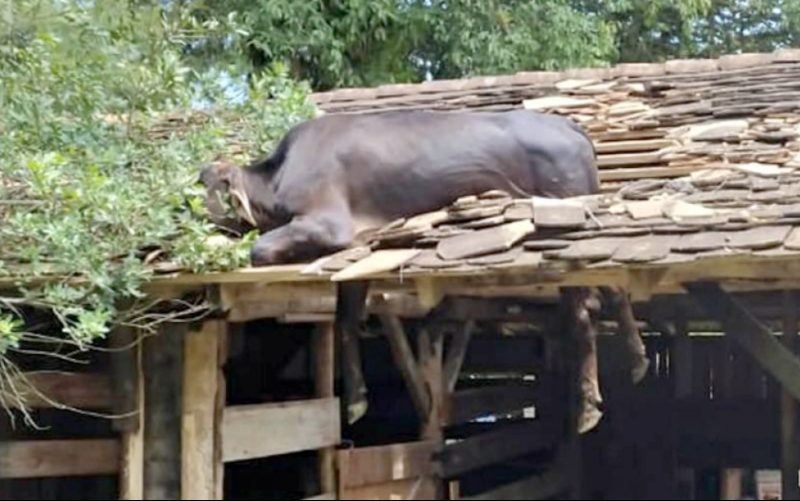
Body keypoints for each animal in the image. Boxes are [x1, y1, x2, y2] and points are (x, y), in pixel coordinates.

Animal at [200, 109, 649, 433]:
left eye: (203, 192)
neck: (276, 178)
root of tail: (568, 125)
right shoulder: (359, 247)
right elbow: (346, 321)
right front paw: (357, 400)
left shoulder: (329, 224)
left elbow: (260, 249)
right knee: (615, 290)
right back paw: (638, 360)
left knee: (584, 310)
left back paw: (589, 407)